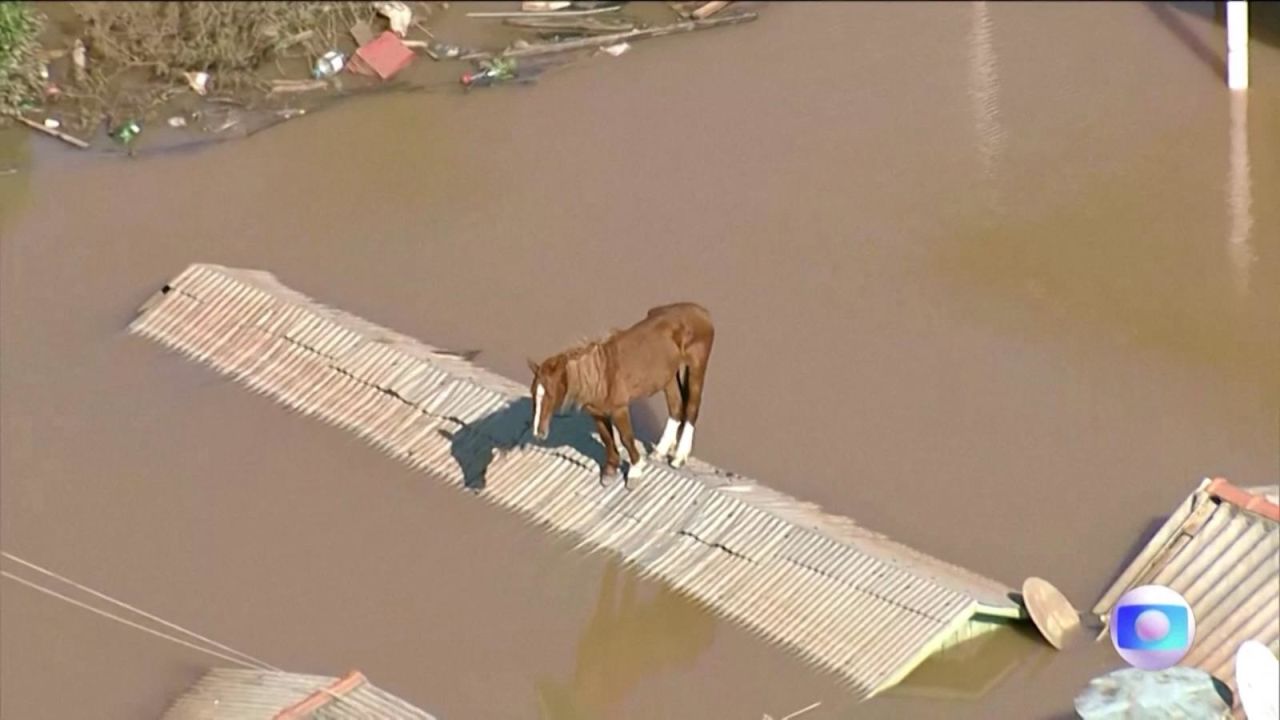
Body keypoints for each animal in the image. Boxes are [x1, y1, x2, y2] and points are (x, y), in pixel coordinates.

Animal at [524, 299, 716, 484]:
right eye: (533, 393)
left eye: (550, 393)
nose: (538, 433)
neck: (600, 375)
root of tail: (702, 312)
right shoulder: (597, 413)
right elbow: (607, 438)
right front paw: (610, 471)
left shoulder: (619, 409)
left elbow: (626, 437)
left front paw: (635, 471)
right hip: (669, 376)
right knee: (676, 407)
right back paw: (660, 451)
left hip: (696, 367)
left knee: (691, 408)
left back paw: (678, 458)